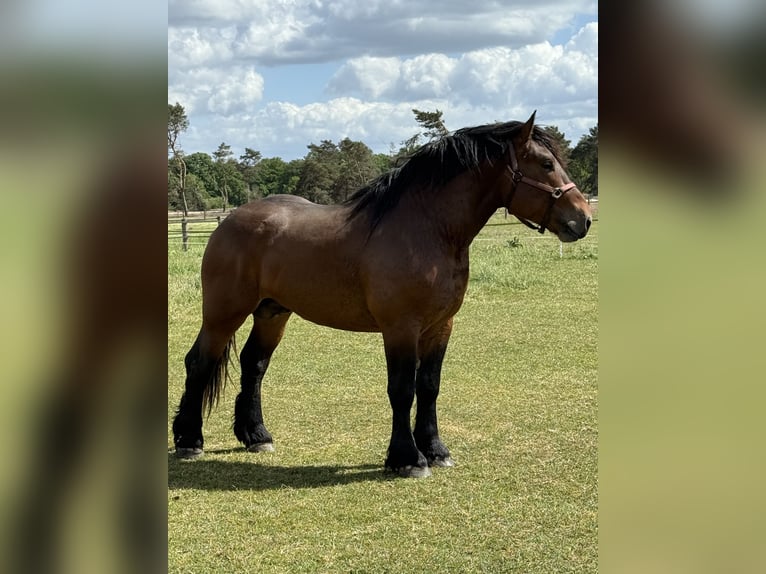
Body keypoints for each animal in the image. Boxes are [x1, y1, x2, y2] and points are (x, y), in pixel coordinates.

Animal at [172, 112, 592, 478]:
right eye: (545, 164)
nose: (583, 219)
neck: (427, 230)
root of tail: (229, 221)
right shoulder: (400, 328)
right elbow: (402, 389)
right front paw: (407, 459)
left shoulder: (441, 327)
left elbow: (429, 387)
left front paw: (435, 449)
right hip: (224, 312)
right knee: (199, 363)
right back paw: (189, 440)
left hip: (272, 312)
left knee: (253, 365)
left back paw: (256, 435)